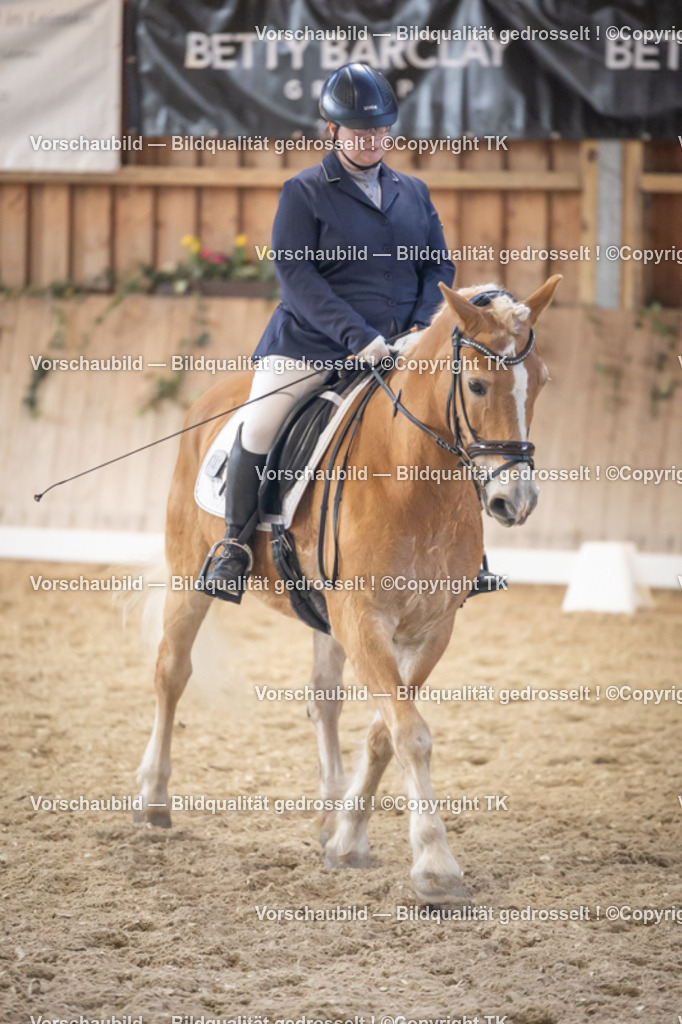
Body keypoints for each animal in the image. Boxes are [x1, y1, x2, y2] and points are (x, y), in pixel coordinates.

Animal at [135, 275, 561, 905]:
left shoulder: (431, 629)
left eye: (541, 384)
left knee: (323, 698)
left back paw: (329, 811)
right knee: (171, 673)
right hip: (191, 578)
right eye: (478, 385)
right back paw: (153, 799)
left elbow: (386, 730)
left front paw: (347, 839)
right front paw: (435, 865)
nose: (517, 501)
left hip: (323, 616)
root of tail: (214, 397)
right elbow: (410, 732)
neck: (415, 484)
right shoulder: (364, 619)